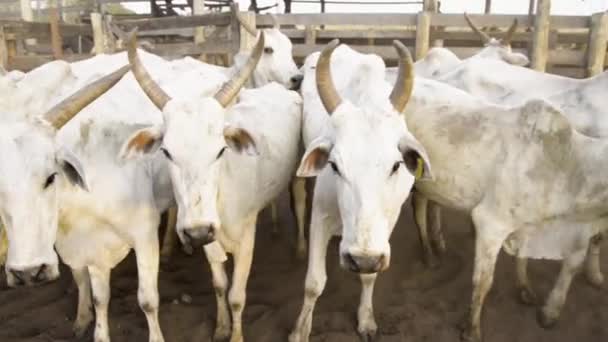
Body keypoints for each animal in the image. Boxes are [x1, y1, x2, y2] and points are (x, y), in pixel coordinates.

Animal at [122, 32, 302, 342]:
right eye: (166, 152)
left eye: (220, 150)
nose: (196, 231)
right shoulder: (209, 240)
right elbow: (220, 285)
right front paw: (221, 327)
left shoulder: (246, 240)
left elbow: (237, 297)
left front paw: (236, 335)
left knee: (299, 203)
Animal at [288, 41, 430, 340]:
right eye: (334, 165)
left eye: (396, 165)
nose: (361, 258)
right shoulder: (321, 217)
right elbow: (314, 283)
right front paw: (300, 330)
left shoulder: (387, 227)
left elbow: (369, 276)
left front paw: (365, 319)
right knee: (299, 196)